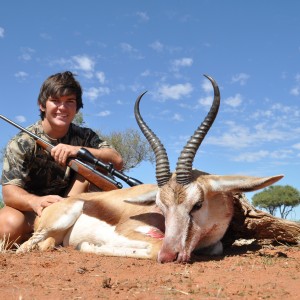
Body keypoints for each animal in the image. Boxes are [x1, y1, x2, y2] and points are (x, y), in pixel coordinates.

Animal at [17, 74, 282, 262]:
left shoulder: (212, 244)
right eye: (160, 208)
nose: (170, 255)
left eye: (197, 204)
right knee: (25, 247)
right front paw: (86, 245)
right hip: (56, 222)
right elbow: (152, 247)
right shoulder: (131, 231)